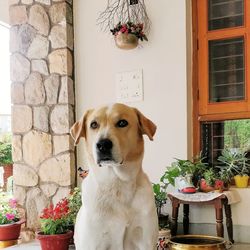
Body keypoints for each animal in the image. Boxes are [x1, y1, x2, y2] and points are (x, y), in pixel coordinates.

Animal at [70, 103, 158, 250]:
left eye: (122, 123)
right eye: (94, 124)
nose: (103, 144)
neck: (117, 183)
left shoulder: (145, 241)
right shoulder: (93, 243)